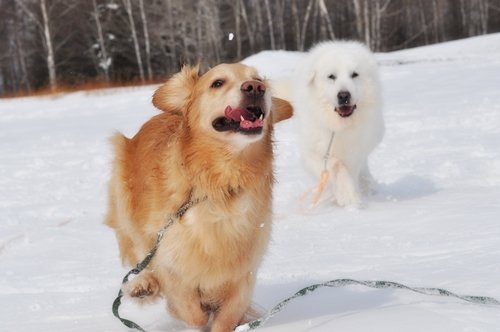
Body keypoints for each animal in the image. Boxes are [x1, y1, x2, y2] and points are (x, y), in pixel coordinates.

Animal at [105, 63, 292, 330]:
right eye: (217, 83)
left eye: (258, 79)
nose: (256, 87)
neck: (222, 182)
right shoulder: (170, 257)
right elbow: (191, 310)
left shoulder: (244, 272)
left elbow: (227, 316)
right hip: (123, 188)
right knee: (139, 252)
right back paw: (143, 285)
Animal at [292, 41, 386, 208]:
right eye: (331, 76)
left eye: (354, 74)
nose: (343, 95)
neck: (339, 125)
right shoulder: (312, 152)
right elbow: (336, 166)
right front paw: (346, 195)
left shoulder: (355, 153)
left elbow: (348, 169)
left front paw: (350, 196)